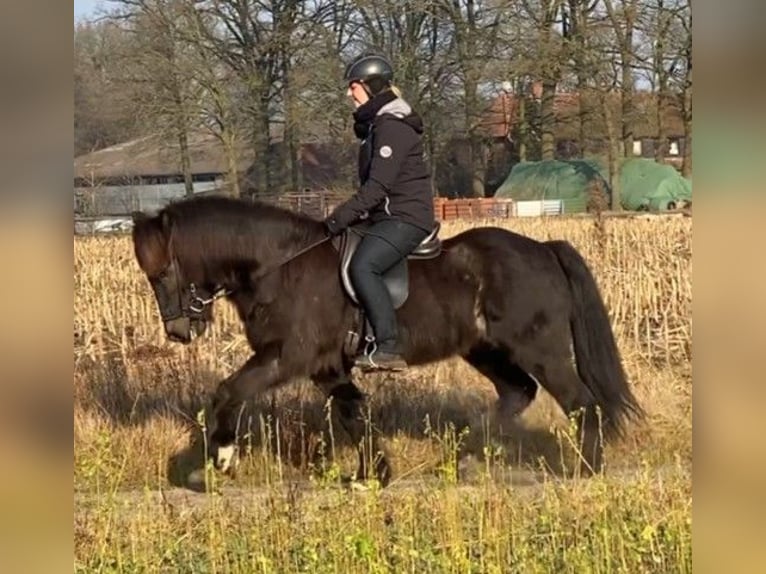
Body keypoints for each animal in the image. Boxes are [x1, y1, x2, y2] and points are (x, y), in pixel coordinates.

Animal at [130, 197, 640, 486]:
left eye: (162, 272)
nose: (179, 332)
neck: (278, 265)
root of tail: (543, 249)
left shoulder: (288, 356)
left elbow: (228, 391)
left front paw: (221, 458)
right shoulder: (327, 367)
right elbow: (354, 414)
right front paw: (371, 476)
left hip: (540, 349)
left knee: (580, 401)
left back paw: (585, 470)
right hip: (485, 350)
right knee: (518, 393)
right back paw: (465, 458)